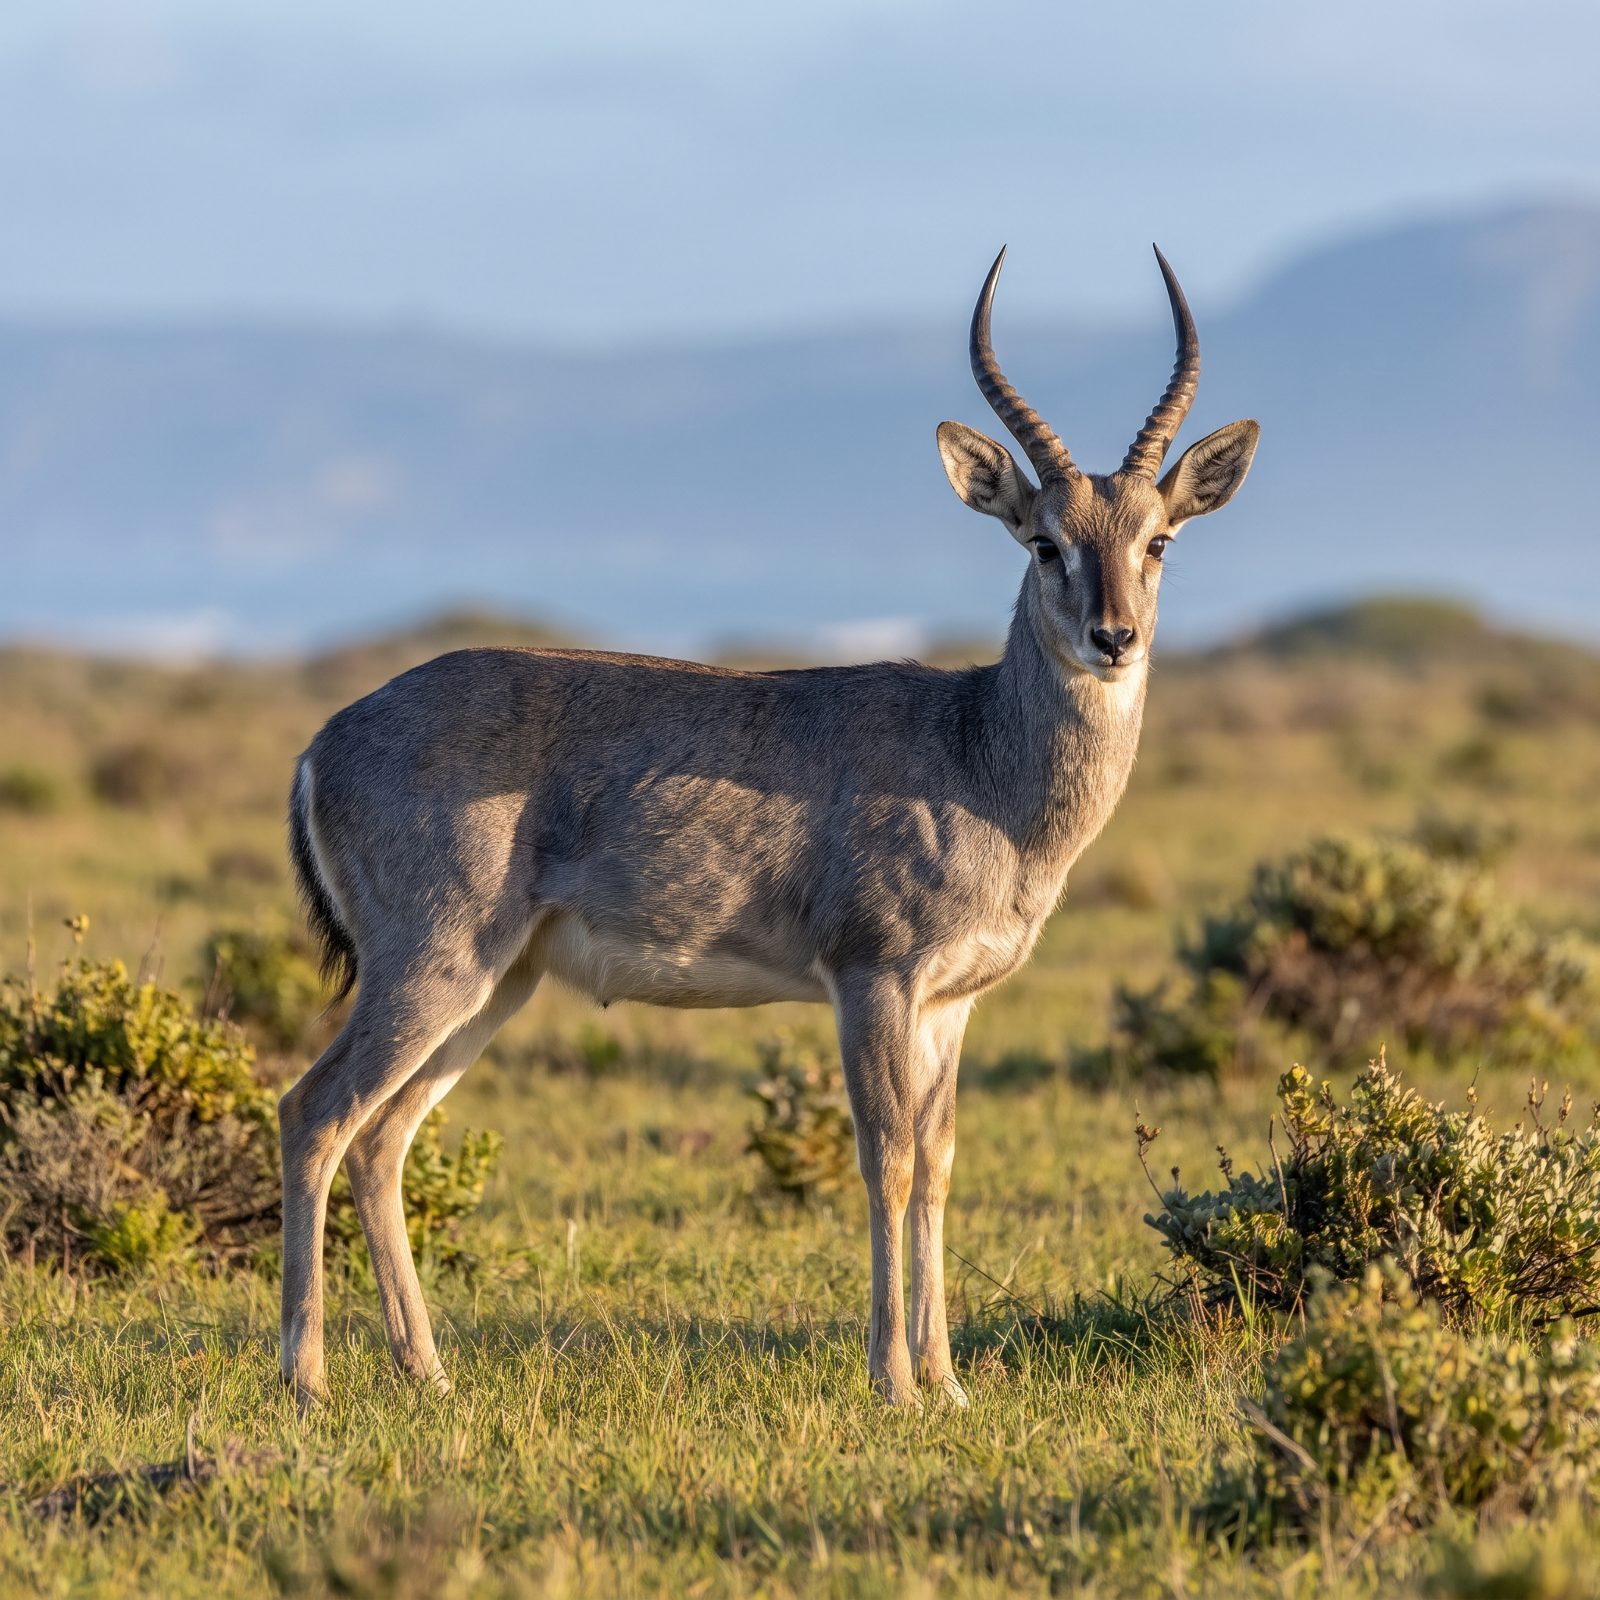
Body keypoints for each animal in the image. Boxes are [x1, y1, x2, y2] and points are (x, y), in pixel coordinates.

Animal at [279, 247, 1260, 1409]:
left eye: (1159, 537)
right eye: (1044, 541)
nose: (1114, 638)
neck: (979, 754)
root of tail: (324, 739)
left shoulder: (952, 1002)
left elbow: (938, 1164)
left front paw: (948, 1383)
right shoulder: (871, 978)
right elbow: (884, 1160)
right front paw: (894, 1383)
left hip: (496, 983)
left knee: (383, 1137)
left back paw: (426, 1374)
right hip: (431, 968)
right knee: (313, 1112)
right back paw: (305, 1378)